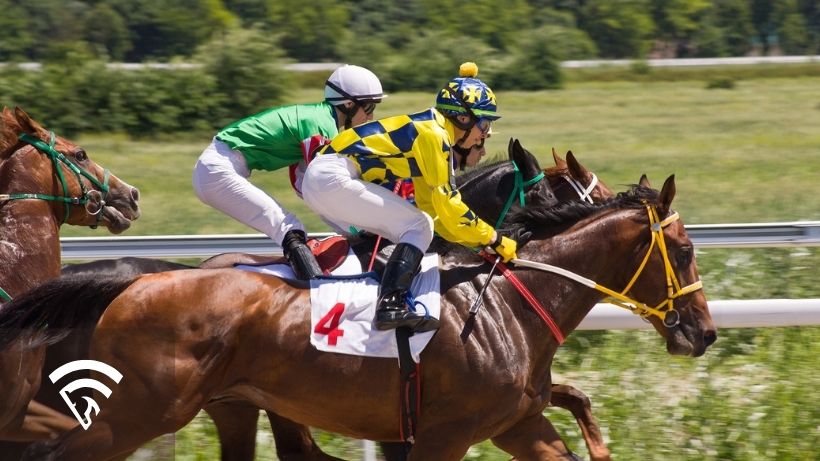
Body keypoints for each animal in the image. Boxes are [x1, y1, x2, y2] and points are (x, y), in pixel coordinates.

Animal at [0, 175, 716, 460]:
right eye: (683, 251)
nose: (703, 332)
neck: (509, 310)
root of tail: (135, 283)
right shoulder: (441, 436)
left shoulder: (516, 423)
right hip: (139, 410)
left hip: (227, 405)